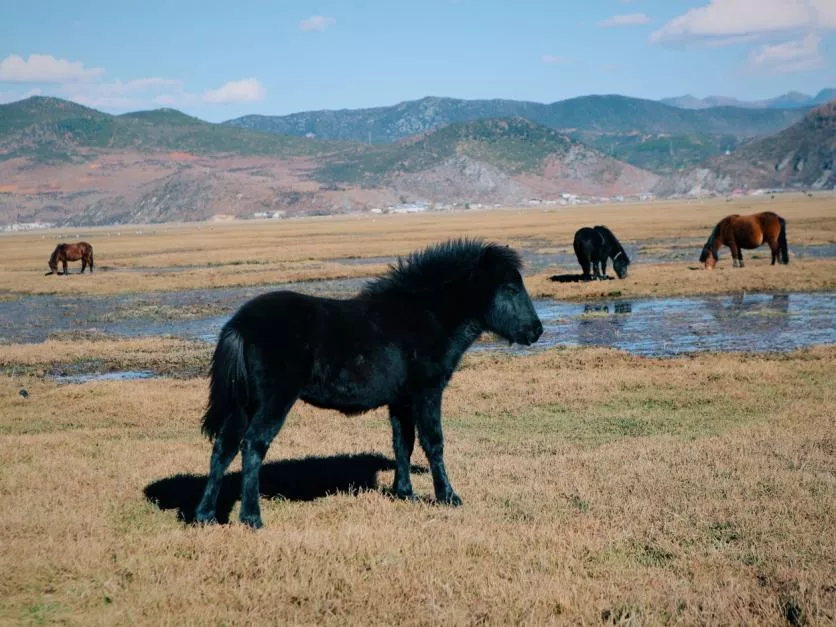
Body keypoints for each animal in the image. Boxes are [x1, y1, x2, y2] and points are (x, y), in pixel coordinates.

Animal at [193, 238, 544, 528]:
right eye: (510, 288)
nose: (536, 331)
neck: (426, 315)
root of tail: (240, 324)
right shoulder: (427, 392)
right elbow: (434, 443)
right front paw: (448, 496)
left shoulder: (401, 400)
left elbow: (403, 443)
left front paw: (404, 492)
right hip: (273, 402)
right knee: (253, 445)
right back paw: (251, 517)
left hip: (244, 405)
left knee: (223, 448)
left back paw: (205, 515)